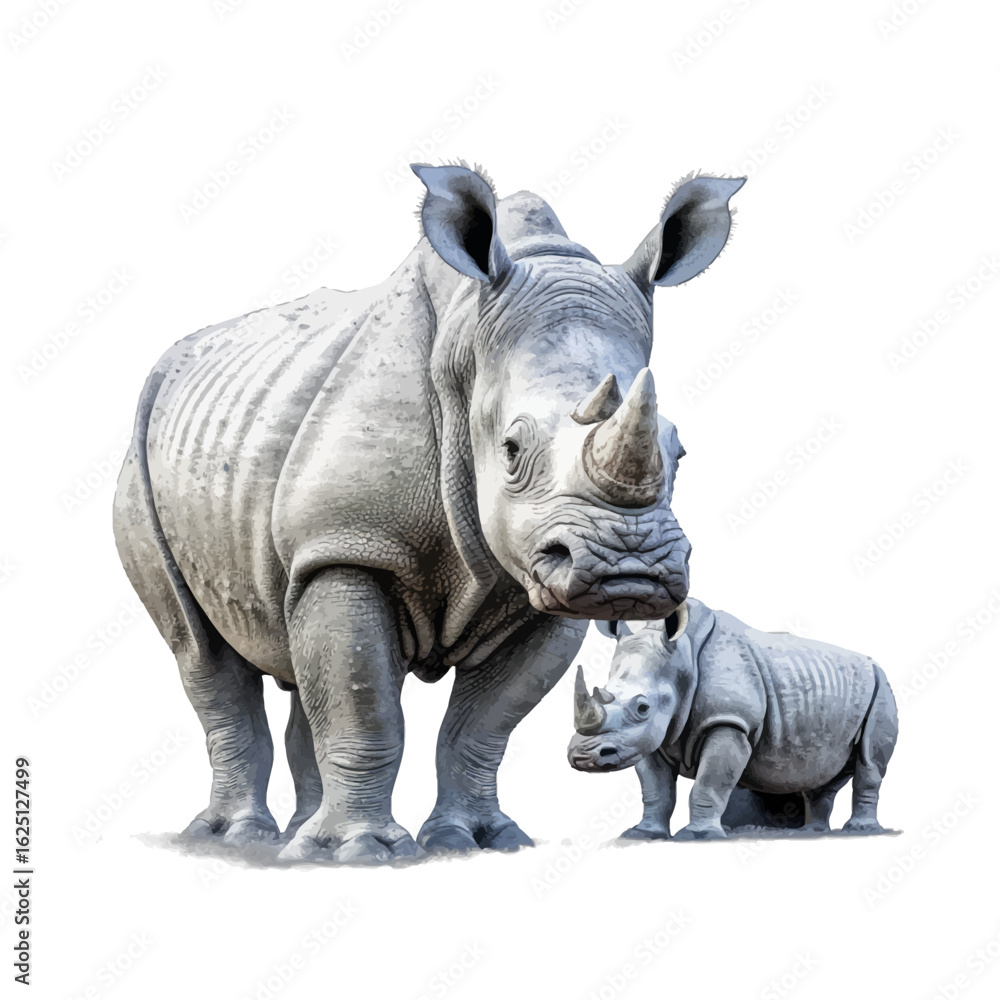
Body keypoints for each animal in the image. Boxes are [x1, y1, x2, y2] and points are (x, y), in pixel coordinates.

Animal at [113, 163, 744, 863]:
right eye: (512, 449)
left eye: (679, 450)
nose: (629, 570)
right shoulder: (348, 543)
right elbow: (366, 709)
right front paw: (361, 852)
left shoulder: (540, 589)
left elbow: (482, 726)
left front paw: (479, 841)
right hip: (141, 461)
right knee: (202, 652)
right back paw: (238, 837)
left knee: (299, 643)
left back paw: (299, 835)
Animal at [568, 599, 898, 839]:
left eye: (642, 708)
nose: (582, 756)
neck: (681, 659)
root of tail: (874, 663)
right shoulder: (648, 739)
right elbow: (655, 790)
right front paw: (643, 834)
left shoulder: (729, 721)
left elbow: (710, 783)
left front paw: (699, 836)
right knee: (821, 773)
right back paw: (812, 832)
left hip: (881, 687)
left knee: (869, 761)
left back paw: (860, 831)